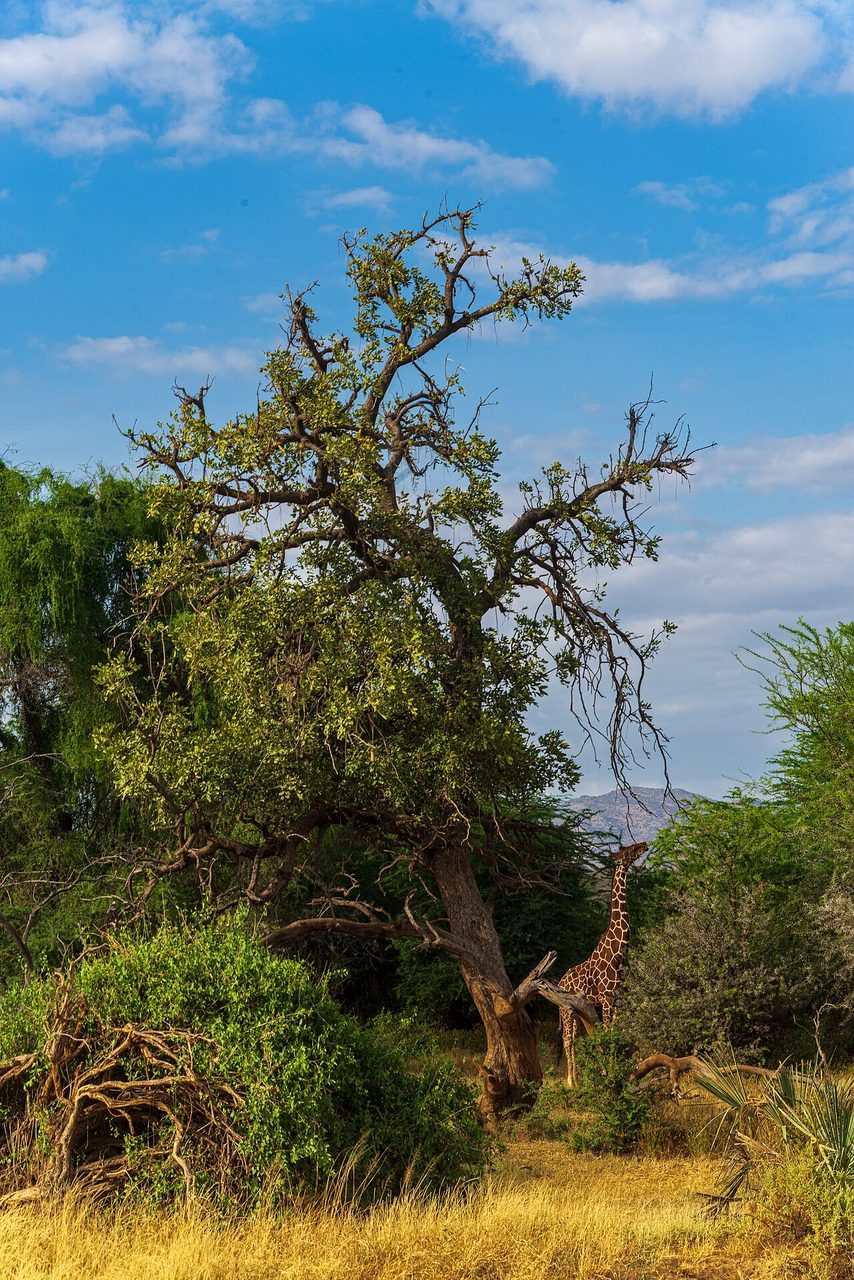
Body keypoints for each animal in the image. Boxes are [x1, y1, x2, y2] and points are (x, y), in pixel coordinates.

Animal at [557, 840, 648, 1086]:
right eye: (629, 851)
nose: (644, 844)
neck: (618, 952)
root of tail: (560, 980)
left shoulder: (618, 998)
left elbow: (615, 1033)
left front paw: (614, 1069)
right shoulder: (606, 998)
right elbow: (606, 1033)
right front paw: (609, 1072)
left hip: (577, 1011)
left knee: (574, 1039)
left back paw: (578, 1079)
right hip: (565, 1009)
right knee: (567, 1040)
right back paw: (571, 1082)